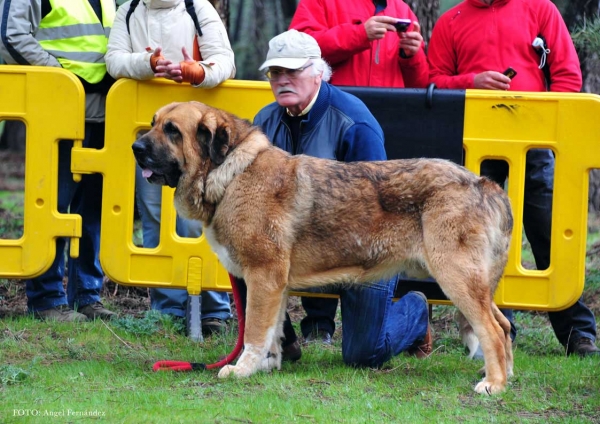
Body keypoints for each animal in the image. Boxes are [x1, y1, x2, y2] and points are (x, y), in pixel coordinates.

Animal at [134, 101, 512, 392]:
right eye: (152, 123)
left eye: (172, 130)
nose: (136, 148)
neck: (230, 173)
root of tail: (483, 184)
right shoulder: (275, 284)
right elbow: (272, 331)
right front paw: (268, 364)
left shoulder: (262, 277)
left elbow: (255, 330)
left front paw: (242, 368)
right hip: (473, 283)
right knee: (504, 327)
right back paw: (502, 374)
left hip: (456, 277)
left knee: (492, 330)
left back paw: (493, 385)